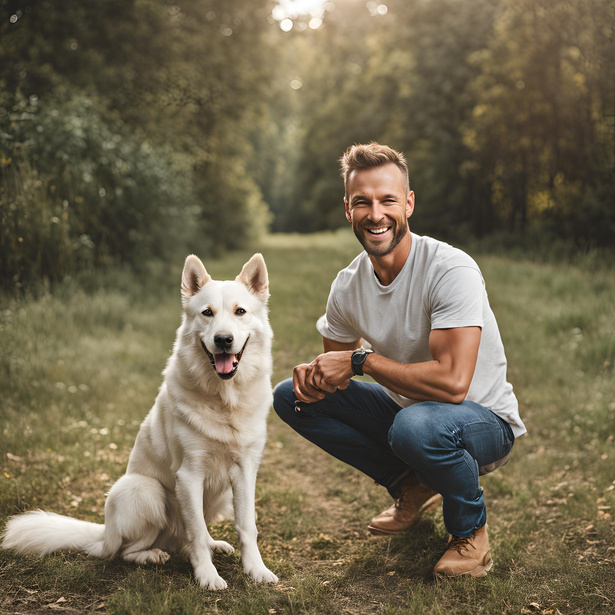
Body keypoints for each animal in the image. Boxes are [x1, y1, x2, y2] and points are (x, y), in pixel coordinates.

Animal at [0, 253, 280, 588]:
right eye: (207, 313)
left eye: (240, 312)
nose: (223, 340)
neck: (223, 400)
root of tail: (104, 533)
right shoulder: (189, 475)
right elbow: (197, 533)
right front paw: (207, 576)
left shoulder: (245, 472)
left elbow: (246, 526)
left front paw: (256, 569)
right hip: (146, 491)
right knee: (128, 550)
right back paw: (152, 555)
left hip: (220, 497)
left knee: (186, 539)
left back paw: (212, 545)